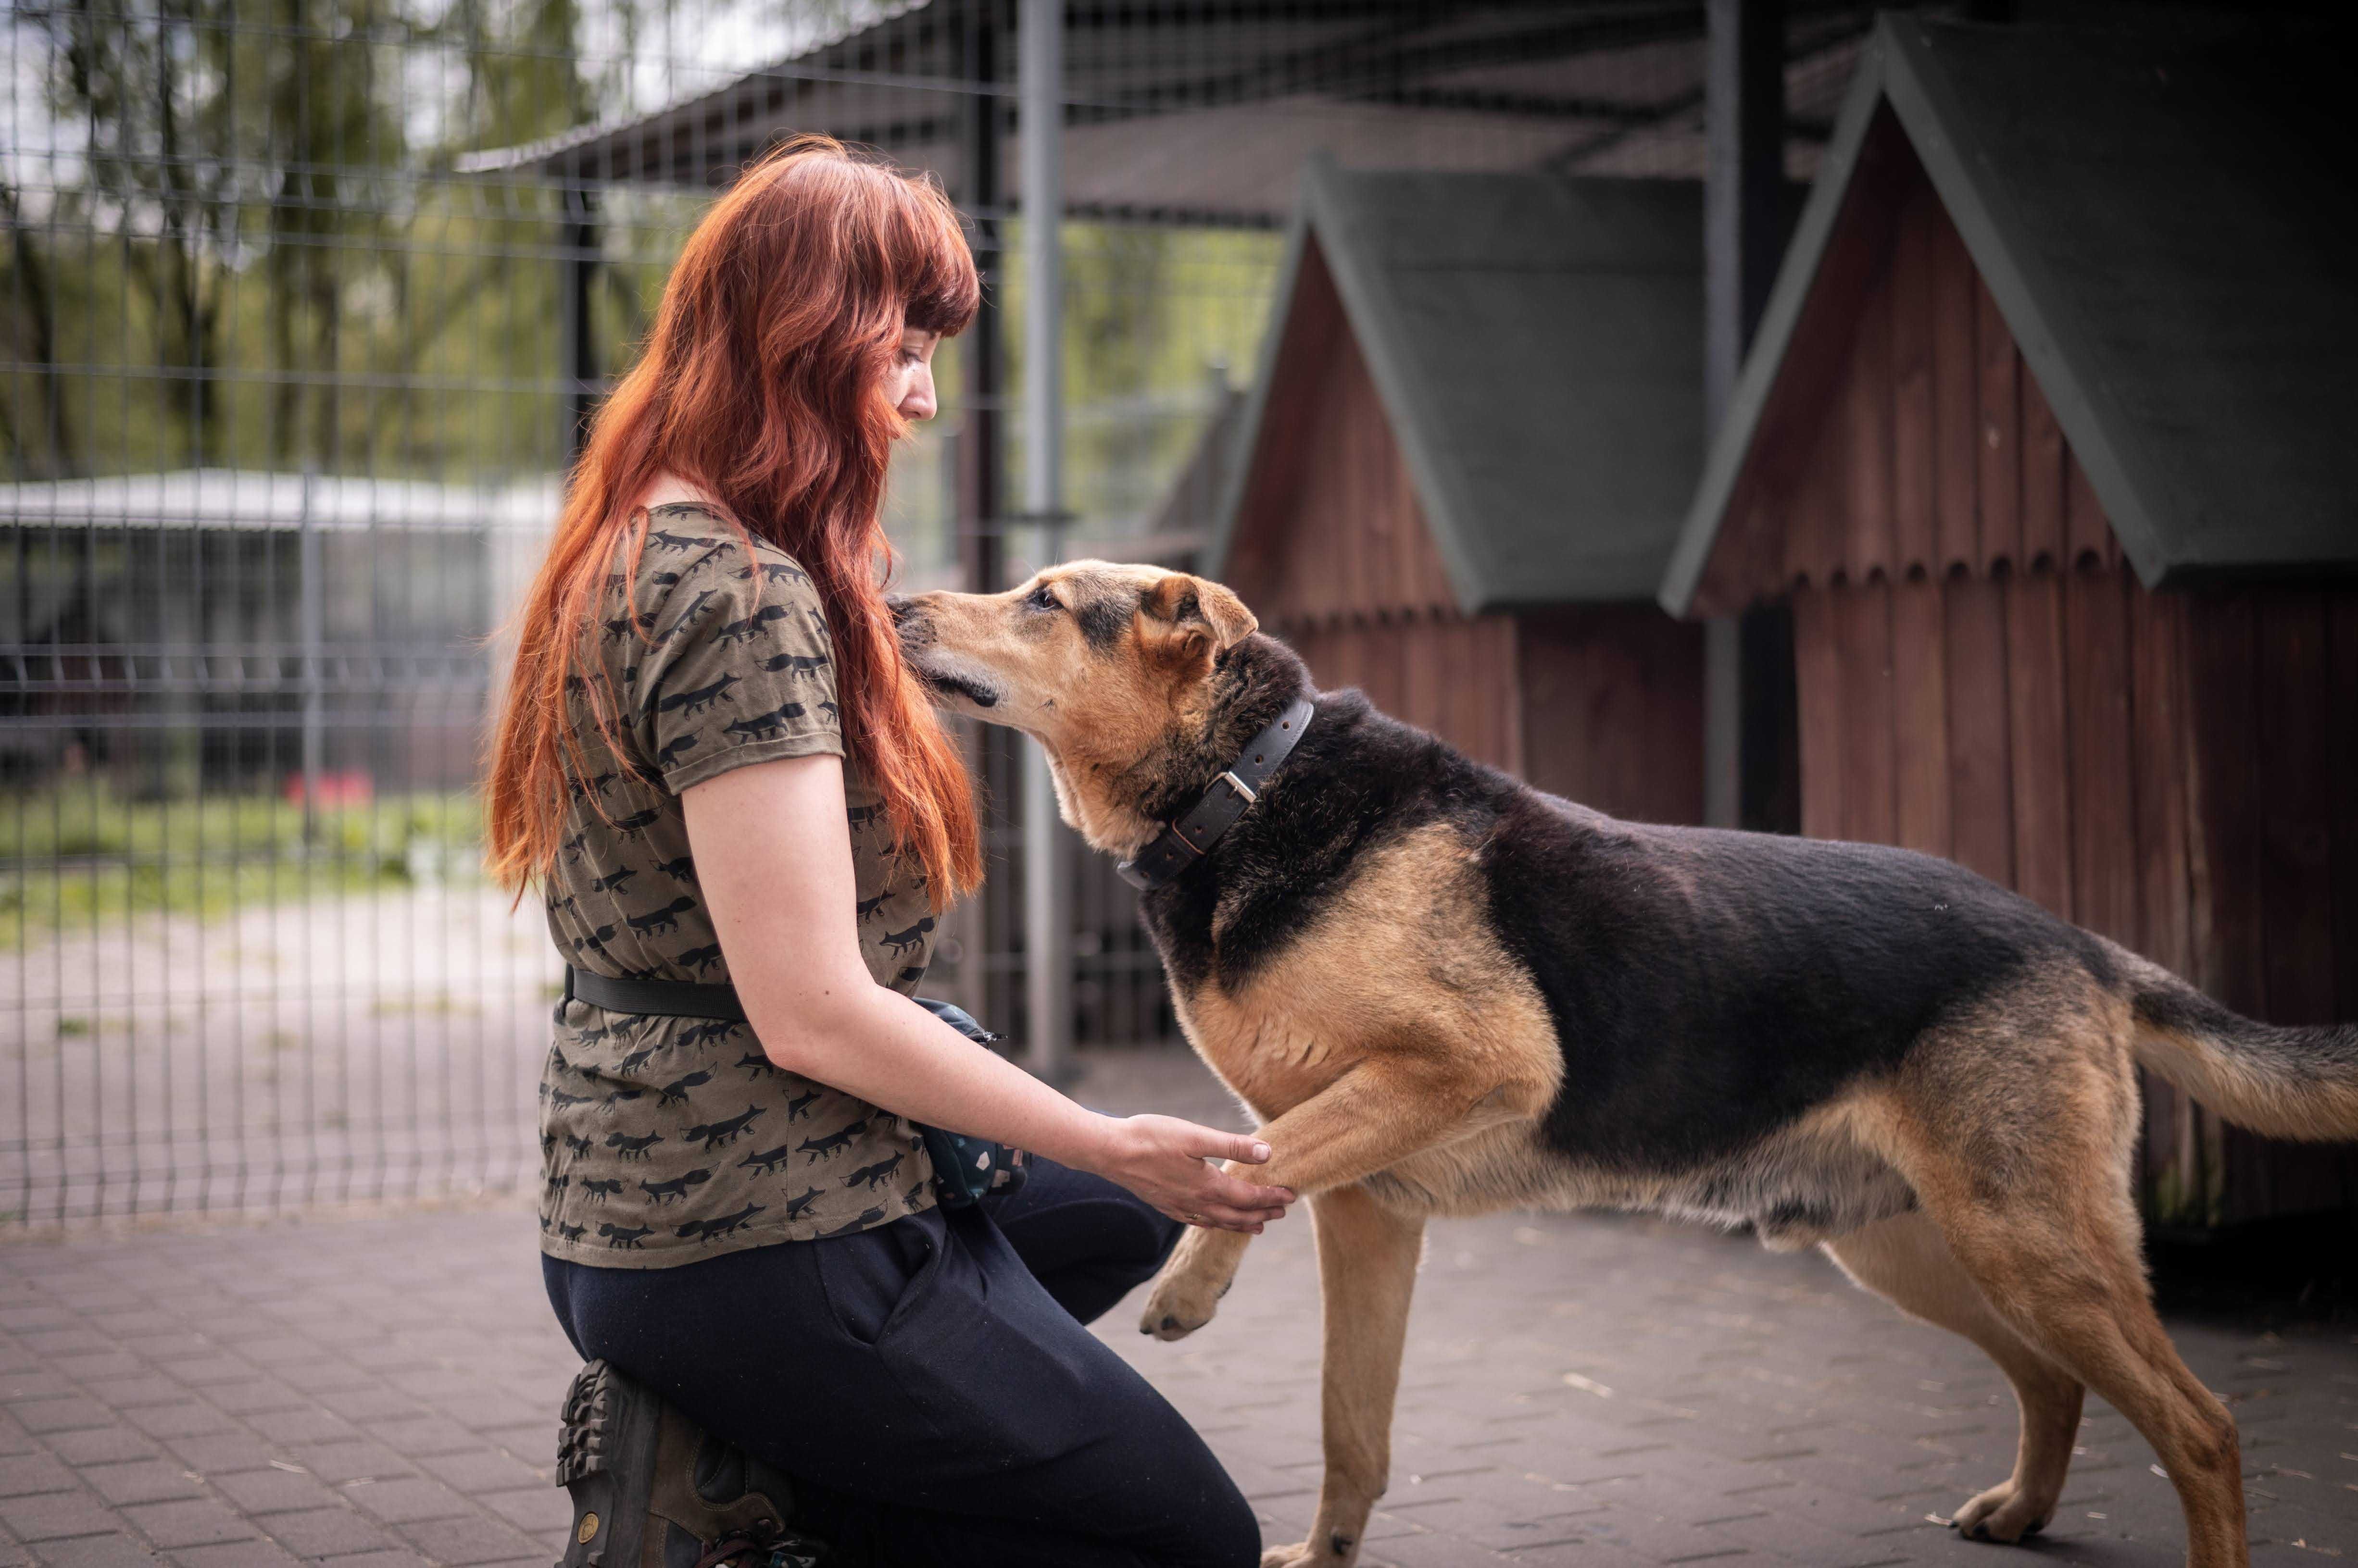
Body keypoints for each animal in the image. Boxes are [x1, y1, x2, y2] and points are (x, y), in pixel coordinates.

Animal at [891, 563, 2348, 1566]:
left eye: (1044, 600)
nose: (894, 602)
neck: (1244, 785)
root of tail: (2081, 942)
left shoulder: (1469, 1067)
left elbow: (1250, 1156)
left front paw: (1191, 1286)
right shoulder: (1368, 1215)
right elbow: (1349, 1430)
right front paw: (1325, 1551)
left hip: (2025, 1238)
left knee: (2199, 1425)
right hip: (1912, 1243)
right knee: (2054, 1378)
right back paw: (2023, 1507)